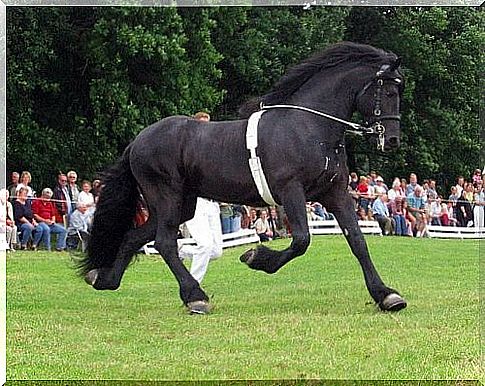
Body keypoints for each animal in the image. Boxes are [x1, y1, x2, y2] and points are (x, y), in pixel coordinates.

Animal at [78, 41, 404, 314]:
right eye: (389, 92)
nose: (392, 140)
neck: (310, 127)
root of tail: (137, 141)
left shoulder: (334, 193)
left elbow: (358, 241)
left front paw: (386, 295)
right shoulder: (291, 191)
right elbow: (301, 240)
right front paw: (257, 258)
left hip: (179, 205)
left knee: (135, 236)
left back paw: (104, 278)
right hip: (167, 197)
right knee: (165, 242)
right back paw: (195, 296)